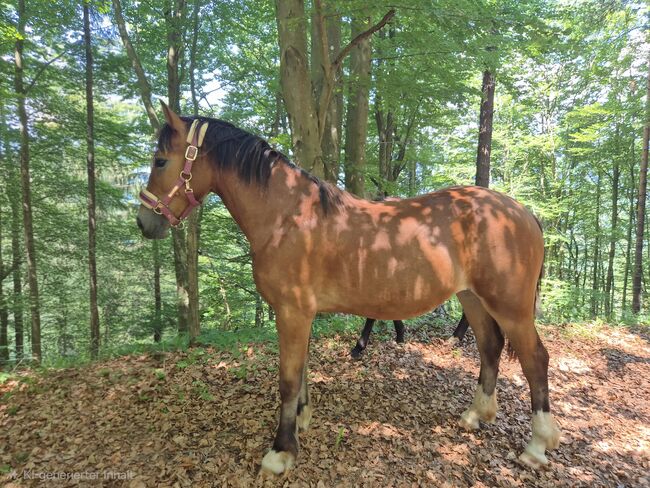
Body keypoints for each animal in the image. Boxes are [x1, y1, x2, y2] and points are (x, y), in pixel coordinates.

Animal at [136, 103, 561, 474]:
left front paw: (280, 451)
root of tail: (523, 213)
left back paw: (538, 446)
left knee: (535, 360)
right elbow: (301, 371)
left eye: (160, 161)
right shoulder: (299, 314)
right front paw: (302, 421)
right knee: (490, 347)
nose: (144, 222)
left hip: (511, 307)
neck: (286, 216)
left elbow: (287, 379)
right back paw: (476, 415)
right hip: (472, 298)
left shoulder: (292, 312)